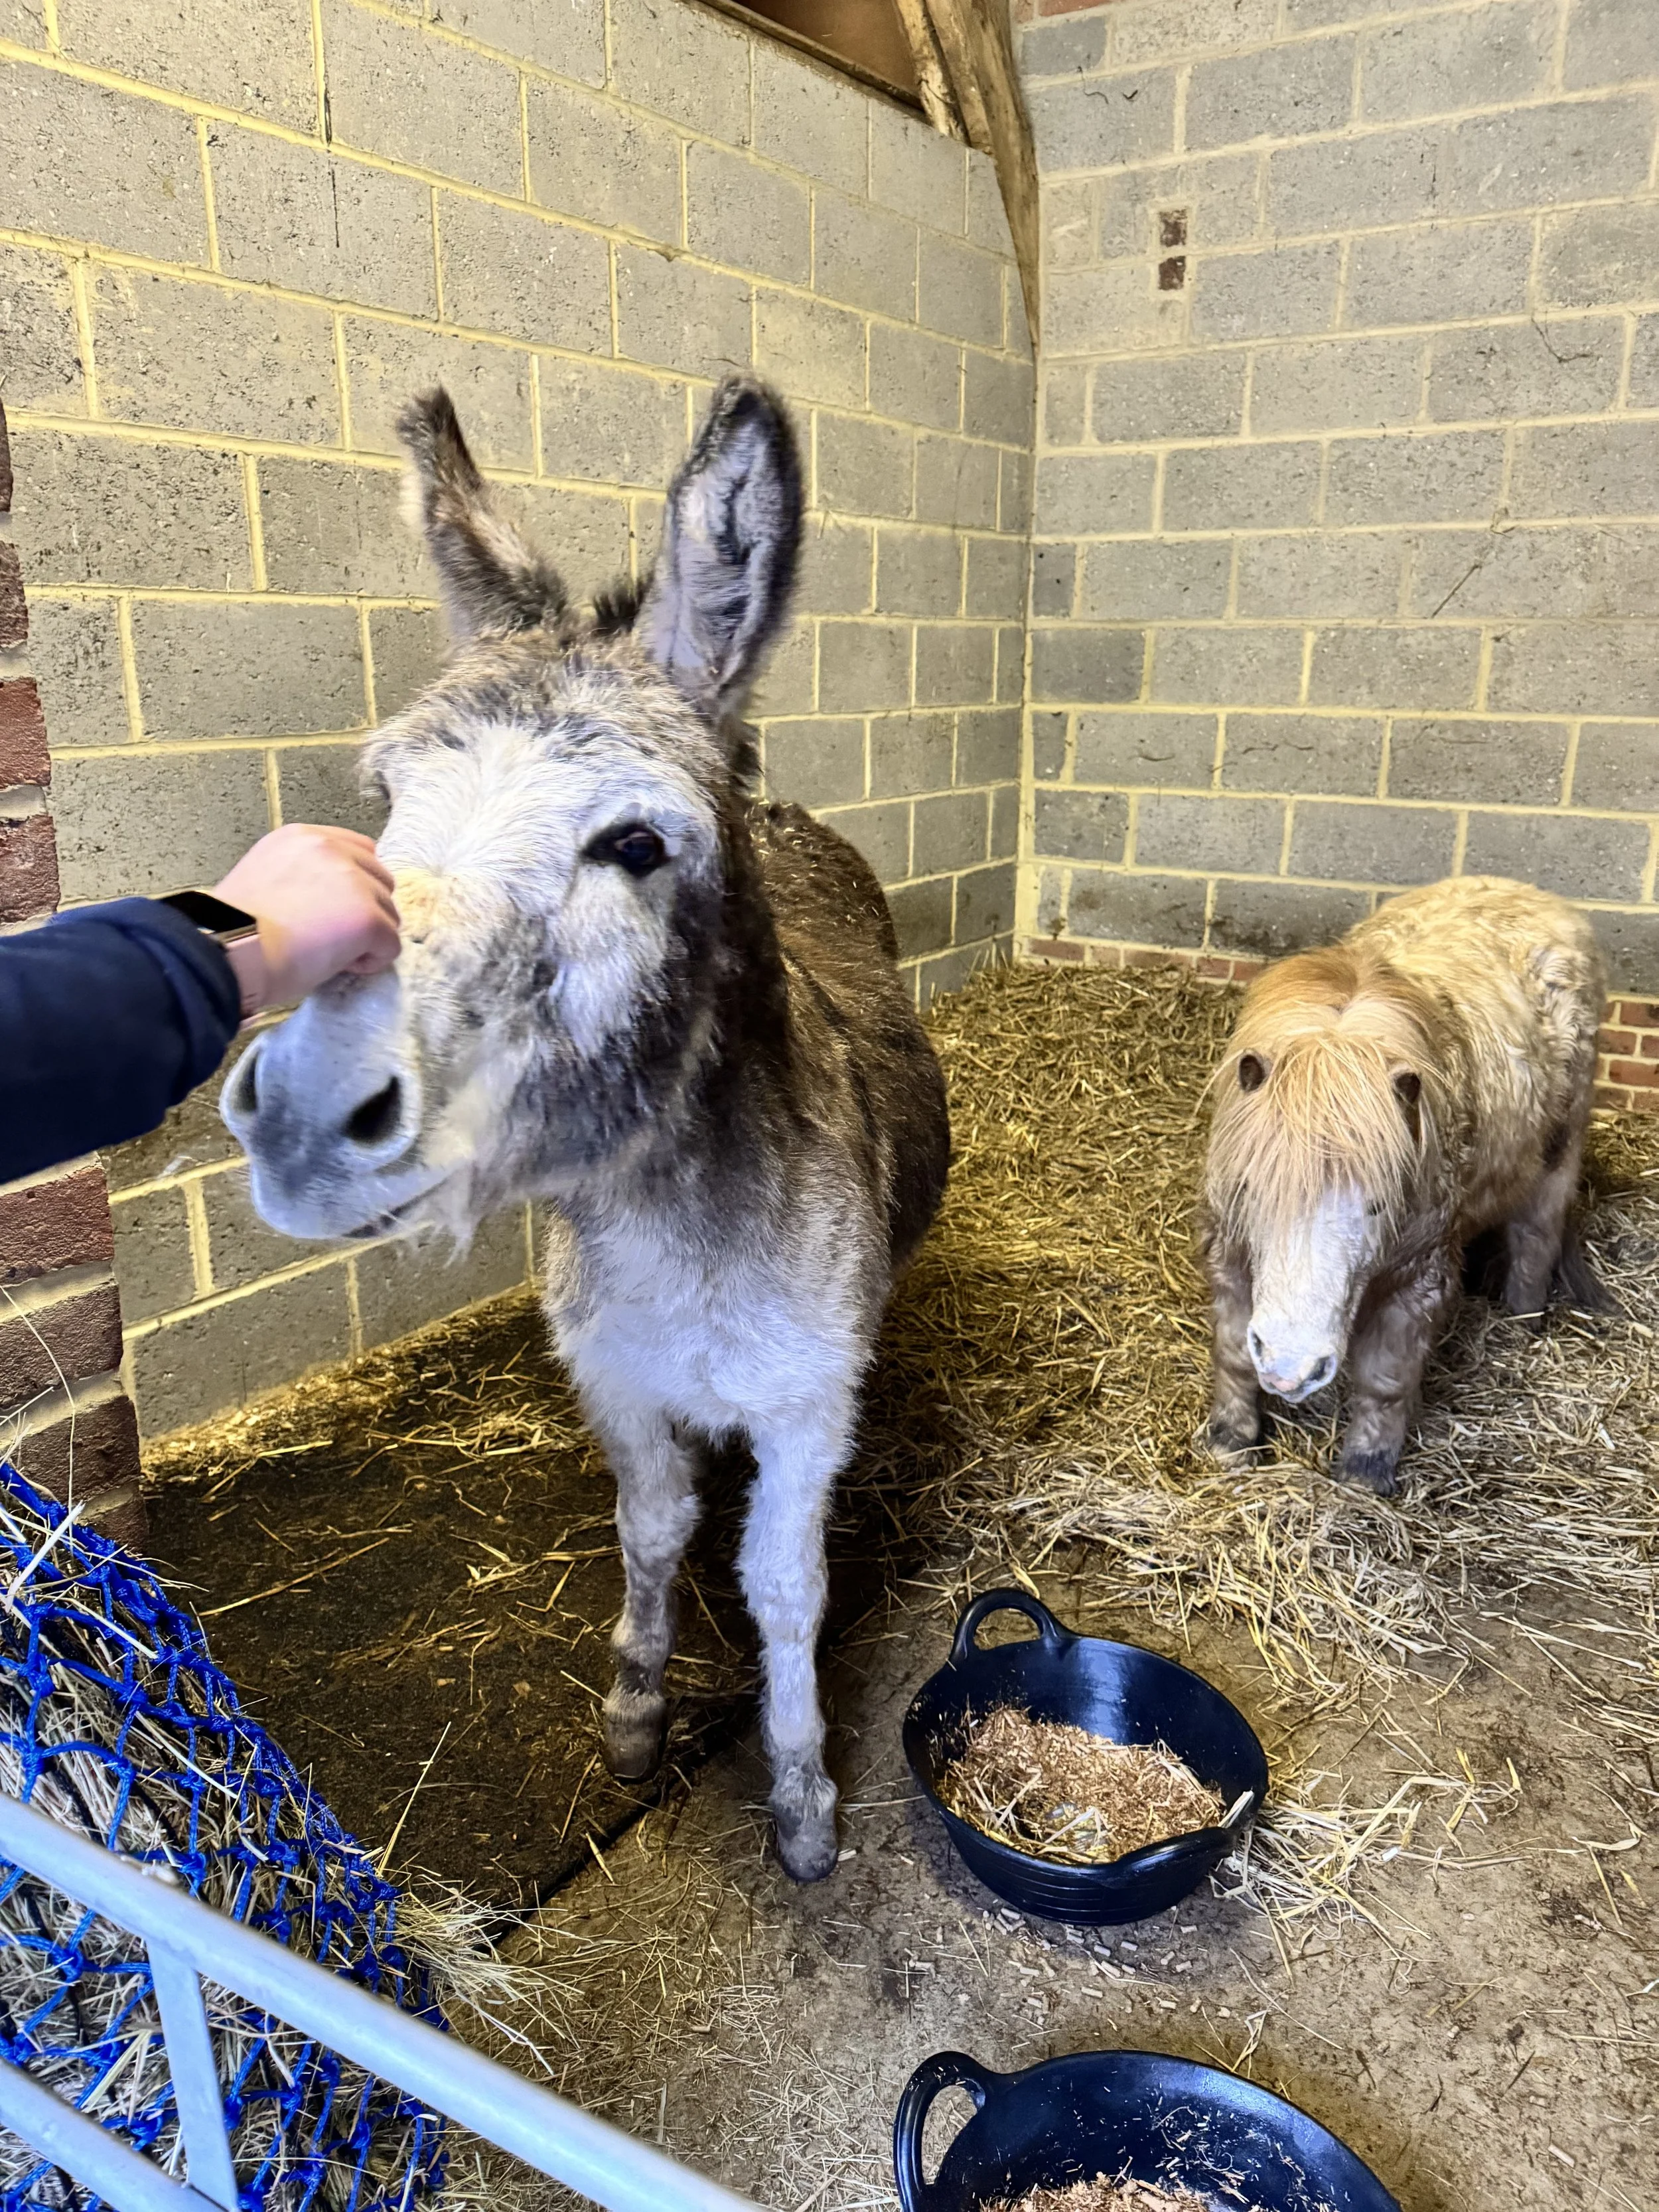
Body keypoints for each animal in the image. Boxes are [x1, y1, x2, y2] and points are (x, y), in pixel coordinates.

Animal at [222, 377, 950, 1881]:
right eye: (385, 808)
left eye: (634, 845)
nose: (307, 1114)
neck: (671, 1228)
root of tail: (790, 815)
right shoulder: (614, 1376)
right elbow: (654, 1529)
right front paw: (632, 1717)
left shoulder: (803, 1401)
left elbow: (785, 1585)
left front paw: (803, 1801)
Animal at [1200, 875, 1606, 1494]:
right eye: (1251, 1190)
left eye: (1377, 1207)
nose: (1292, 1370)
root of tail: (1533, 897)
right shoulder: (1232, 1253)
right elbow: (1235, 1352)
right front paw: (1231, 1441)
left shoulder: (1418, 1278)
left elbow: (1385, 1378)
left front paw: (1365, 1472)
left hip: (1556, 1163)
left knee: (1534, 1241)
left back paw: (1520, 1322)